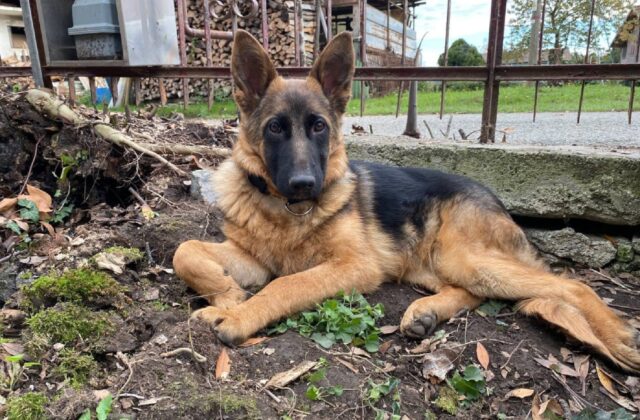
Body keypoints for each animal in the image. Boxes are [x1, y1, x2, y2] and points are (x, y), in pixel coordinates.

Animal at [172, 29, 640, 370]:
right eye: (275, 128)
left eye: (319, 126)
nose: (305, 184)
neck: (287, 212)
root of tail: (495, 198)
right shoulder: (250, 258)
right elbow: (186, 251)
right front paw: (229, 297)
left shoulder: (353, 266)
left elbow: (288, 283)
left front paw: (238, 315)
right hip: (435, 263)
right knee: (472, 291)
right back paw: (427, 312)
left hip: (465, 257)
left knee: (570, 284)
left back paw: (617, 335)